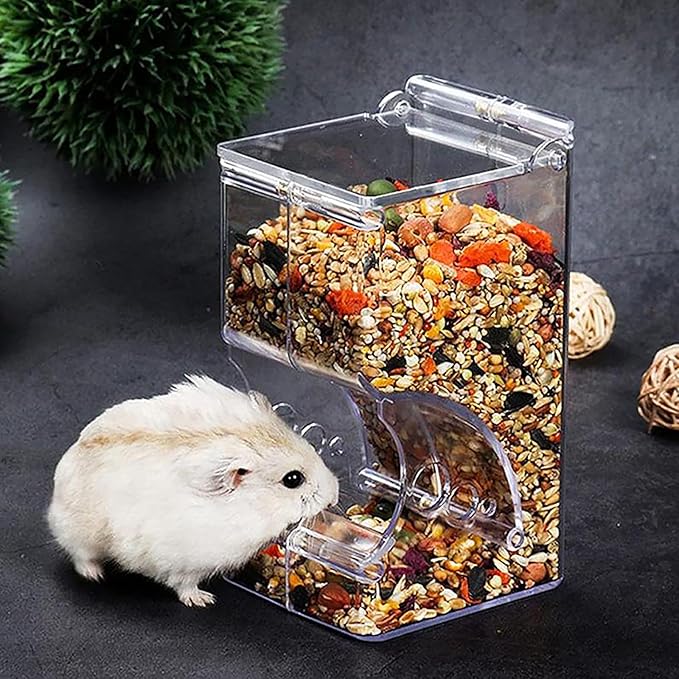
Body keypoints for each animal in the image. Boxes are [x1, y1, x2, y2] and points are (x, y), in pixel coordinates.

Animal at [47, 375, 339, 607]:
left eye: (311, 447)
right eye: (293, 479)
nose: (335, 495)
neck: (251, 508)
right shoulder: (185, 561)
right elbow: (184, 584)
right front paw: (204, 600)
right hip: (79, 532)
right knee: (78, 554)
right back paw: (94, 575)